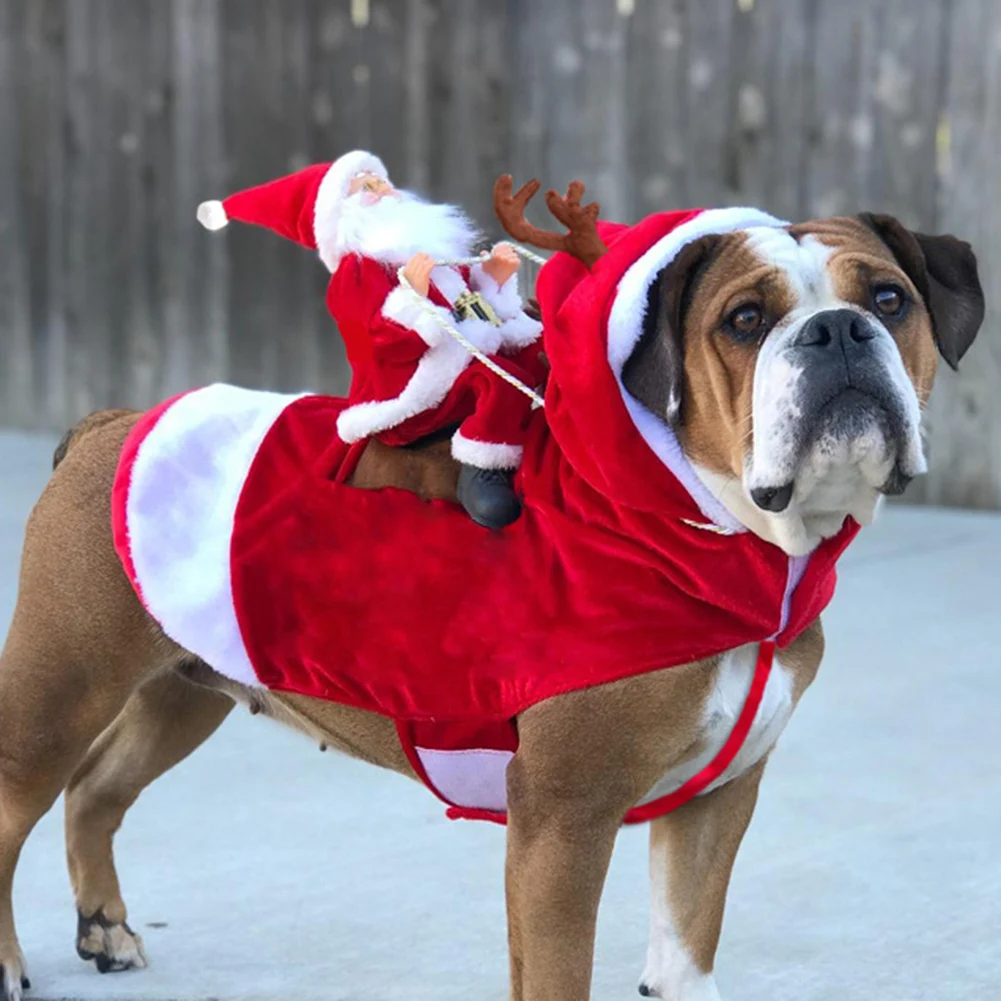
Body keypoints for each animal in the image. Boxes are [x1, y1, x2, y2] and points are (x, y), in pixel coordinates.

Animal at [0, 191, 984, 996]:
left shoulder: (716, 802)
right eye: (744, 319)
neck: (715, 531)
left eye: (888, 300)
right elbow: (556, 973)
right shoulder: (562, 825)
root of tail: (111, 425)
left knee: (97, 790)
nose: (837, 332)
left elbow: (684, 951)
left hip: (184, 688)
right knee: (20, 805)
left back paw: (104, 927)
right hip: (57, 693)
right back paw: (12, 963)